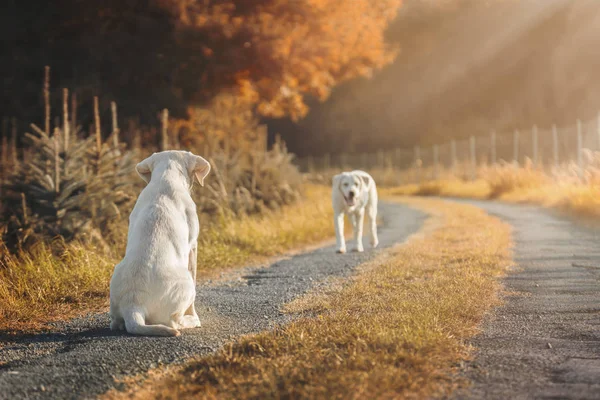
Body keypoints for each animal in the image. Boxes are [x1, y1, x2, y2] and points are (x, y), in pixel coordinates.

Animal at [109, 150, 211, 338]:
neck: (166, 177)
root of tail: (133, 306)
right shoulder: (193, 247)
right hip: (185, 284)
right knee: (175, 321)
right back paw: (192, 320)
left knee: (116, 322)